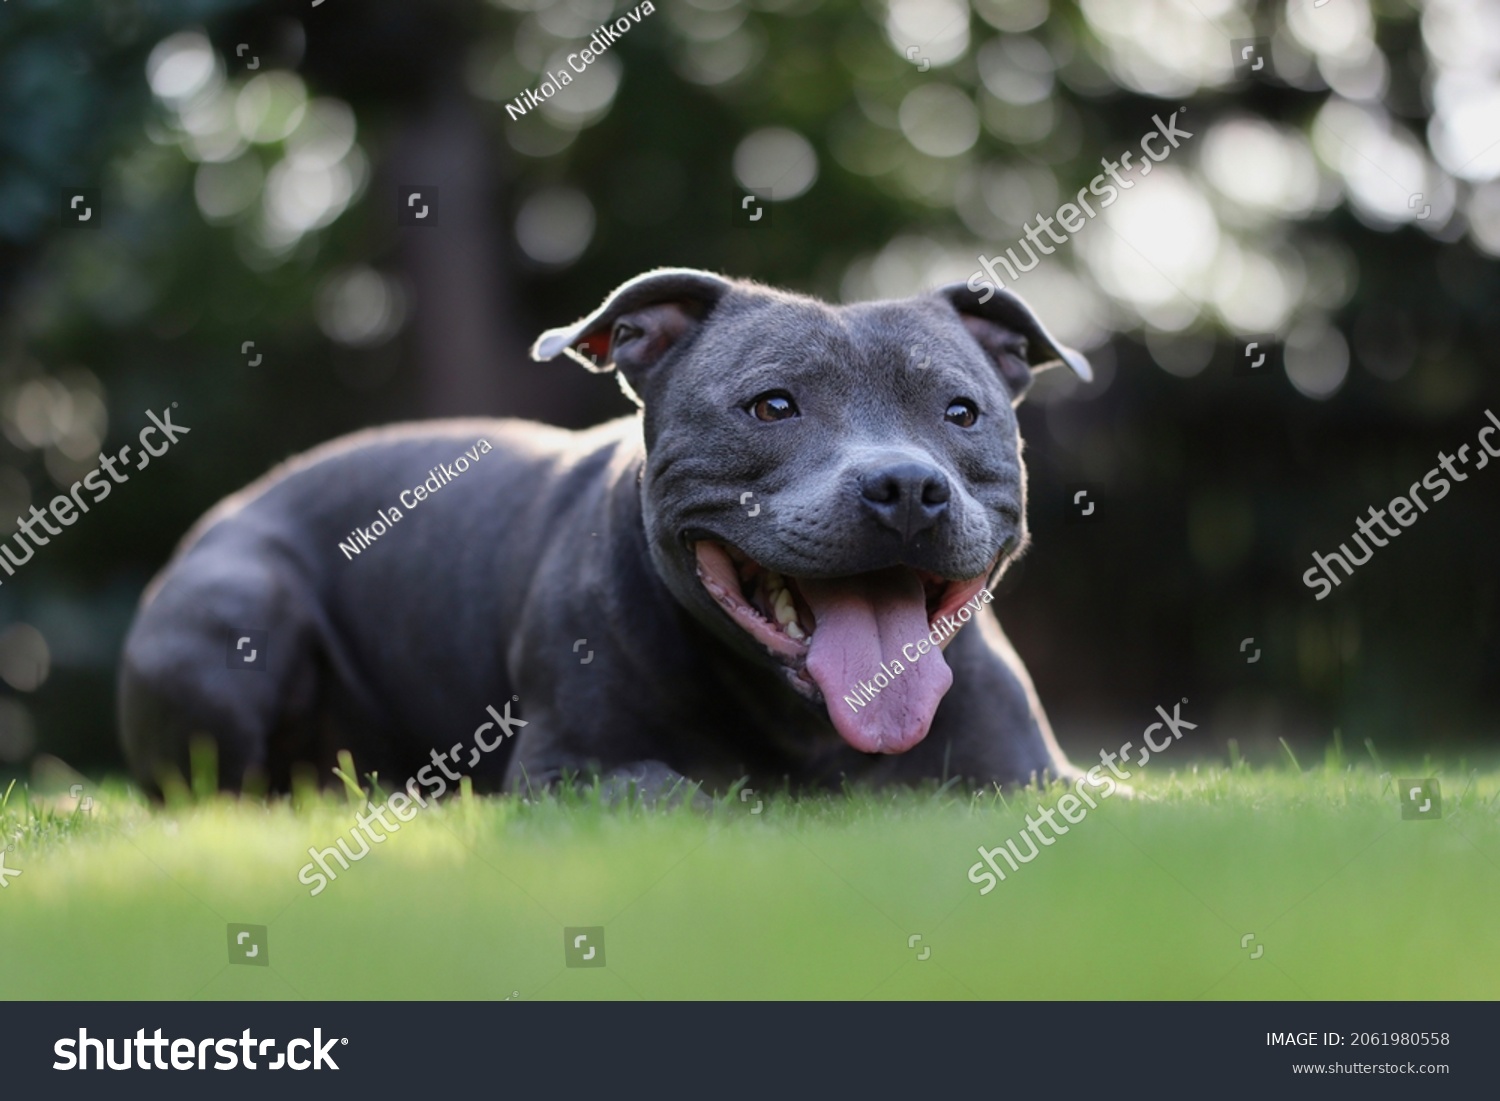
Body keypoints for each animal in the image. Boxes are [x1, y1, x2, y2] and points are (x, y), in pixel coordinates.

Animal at [120, 267, 1092, 804]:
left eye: (961, 412)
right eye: (772, 405)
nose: (906, 488)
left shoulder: (1042, 775)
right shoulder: (567, 768)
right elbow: (671, 791)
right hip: (238, 610)